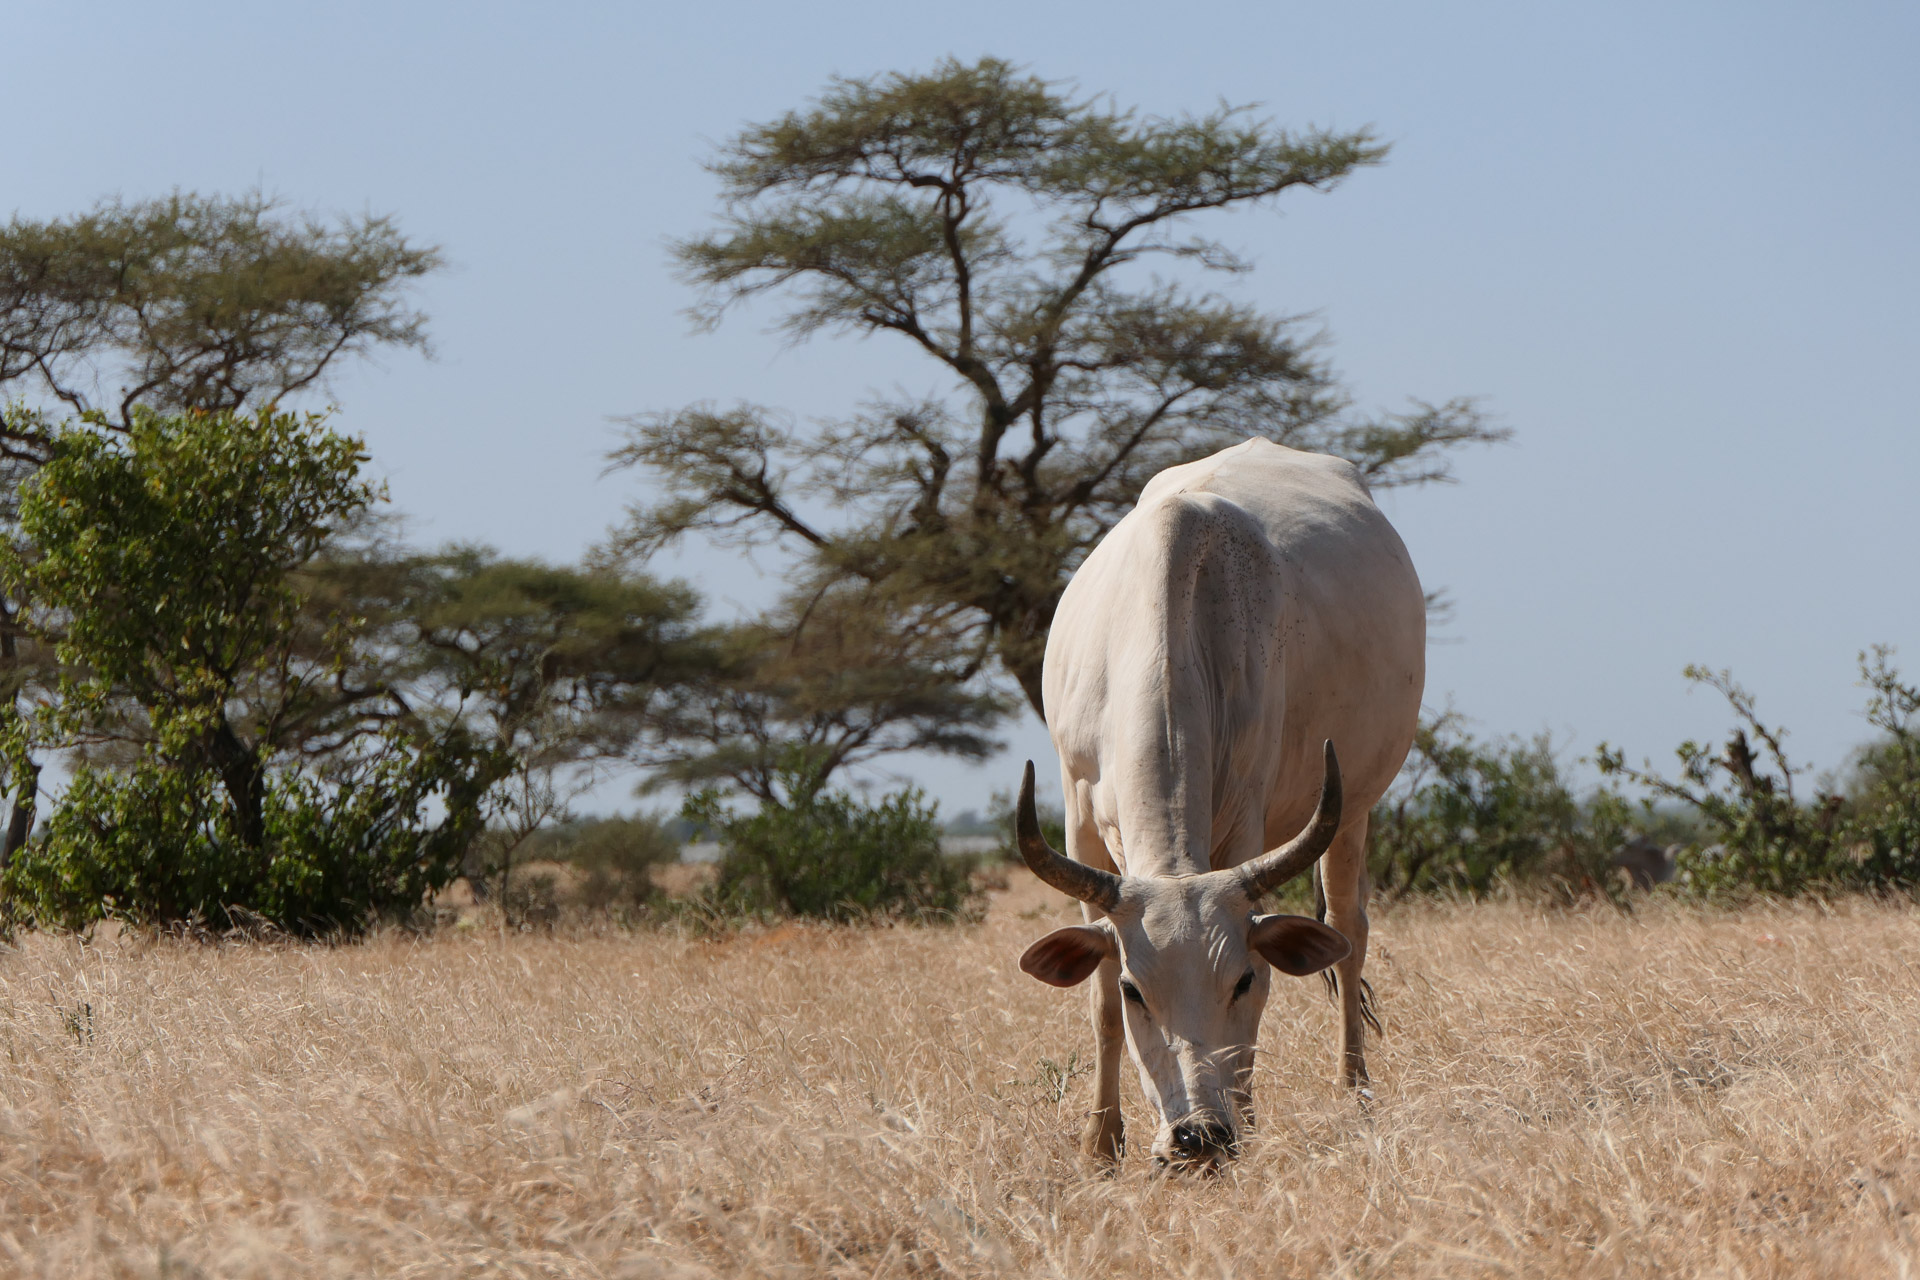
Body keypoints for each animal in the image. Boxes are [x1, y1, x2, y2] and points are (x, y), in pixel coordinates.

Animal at [1013, 438, 1425, 1171]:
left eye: (1241, 980)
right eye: (1137, 991)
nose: (1197, 1138)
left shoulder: (1246, 820)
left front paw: (1249, 1126)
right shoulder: (1078, 820)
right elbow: (1097, 1001)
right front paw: (1101, 1140)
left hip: (1354, 807)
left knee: (1349, 934)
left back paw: (1354, 1089)